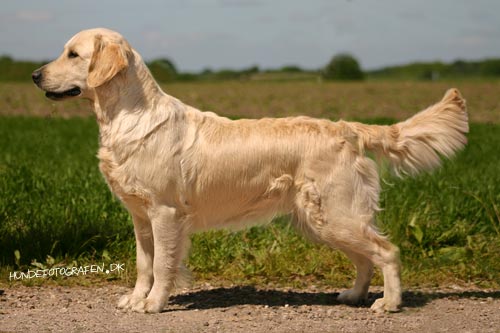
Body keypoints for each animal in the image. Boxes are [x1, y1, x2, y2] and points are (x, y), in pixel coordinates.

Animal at [32, 27, 468, 312]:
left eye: (73, 54)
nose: (35, 75)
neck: (129, 116)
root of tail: (346, 128)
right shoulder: (140, 216)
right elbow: (144, 264)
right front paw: (135, 299)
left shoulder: (165, 213)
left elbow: (161, 264)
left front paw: (153, 304)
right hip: (324, 219)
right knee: (365, 258)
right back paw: (354, 296)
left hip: (336, 214)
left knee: (387, 251)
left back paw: (388, 304)